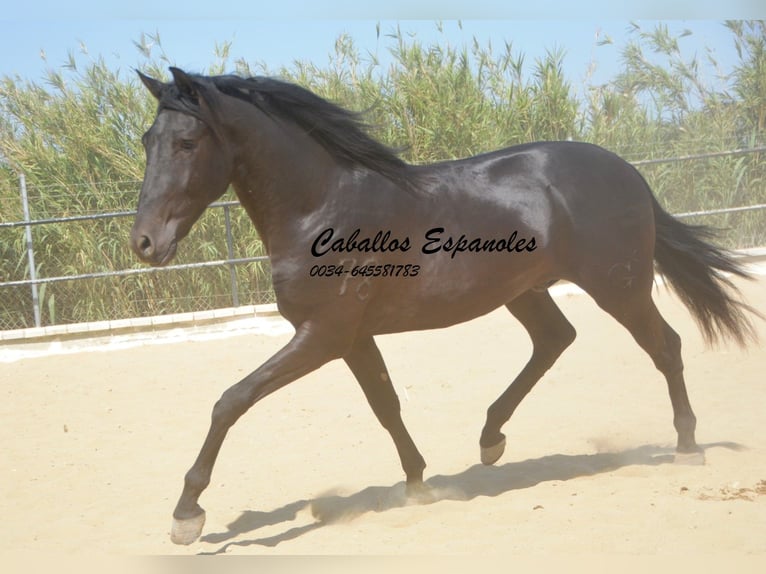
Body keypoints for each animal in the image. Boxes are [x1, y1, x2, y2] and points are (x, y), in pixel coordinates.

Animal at [130, 66, 756, 544]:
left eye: (187, 143)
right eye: (146, 141)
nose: (144, 244)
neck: (322, 206)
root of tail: (625, 170)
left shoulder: (322, 335)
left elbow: (230, 401)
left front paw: (187, 515)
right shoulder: (351, 338)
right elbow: (386, 405)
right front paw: (418, 484)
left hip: (617, 285)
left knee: (664, 346)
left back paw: (686, 447)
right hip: (525, 292)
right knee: (556, 340)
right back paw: (490, 438)